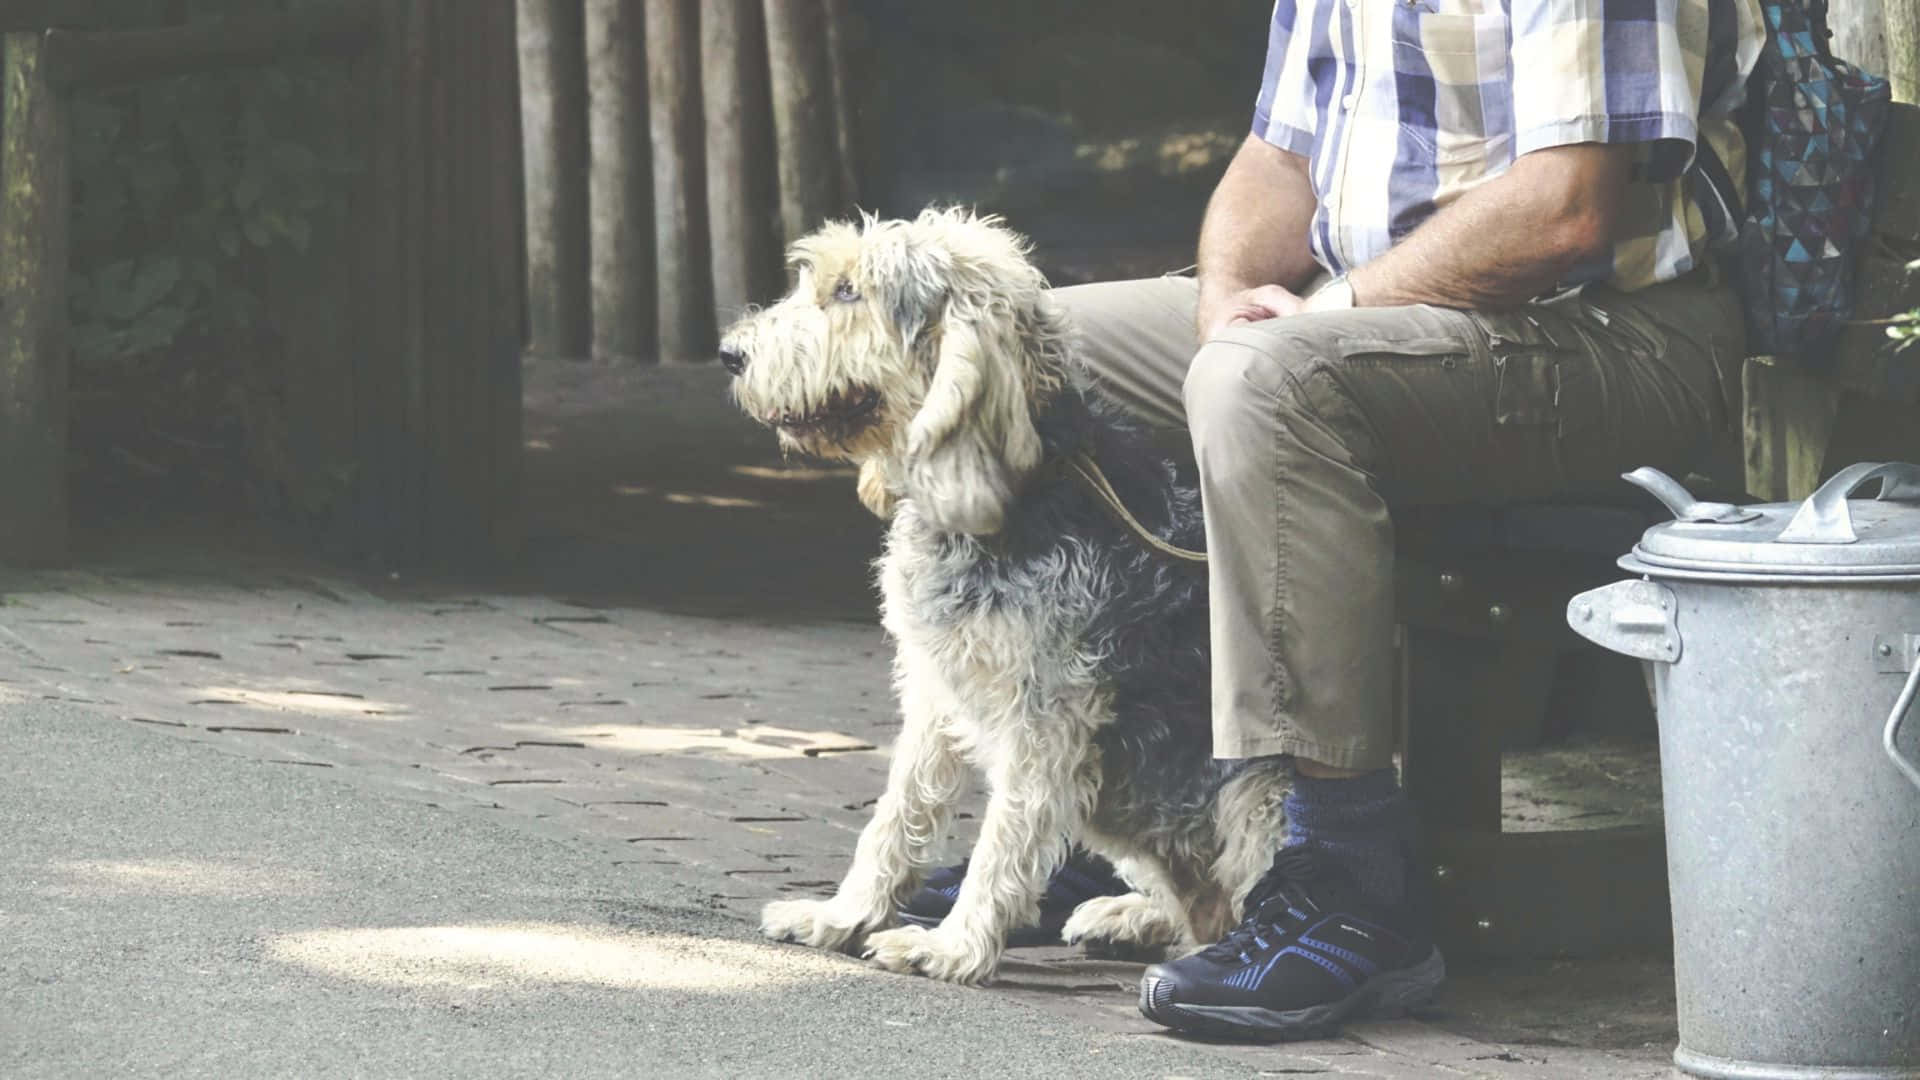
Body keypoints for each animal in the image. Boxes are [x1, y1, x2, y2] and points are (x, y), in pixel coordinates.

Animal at [721, 205, 1290, 980]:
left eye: (848, 293)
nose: (729, 354)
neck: (1027, 489)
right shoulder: (935, 690)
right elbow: (896, 814)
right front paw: (843, 917)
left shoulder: (1046, 716)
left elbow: (1006, 834)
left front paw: (952, 946)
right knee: (1195, 909)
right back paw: (1130, 915)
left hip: (1259, 794)